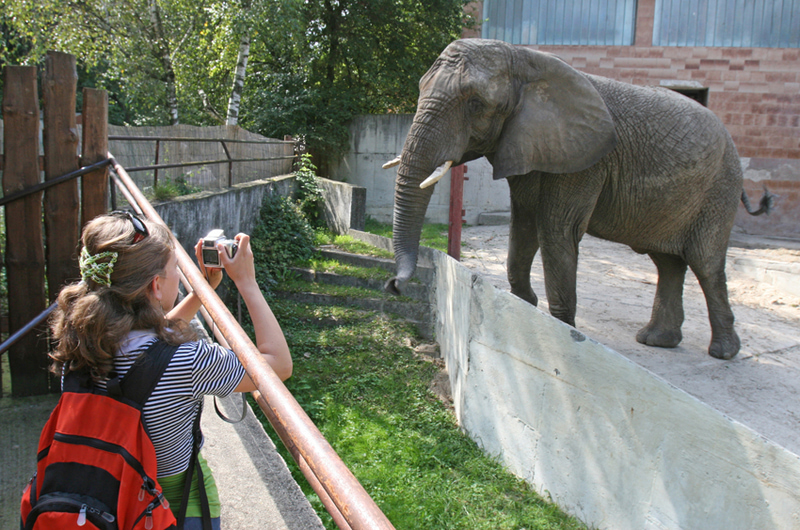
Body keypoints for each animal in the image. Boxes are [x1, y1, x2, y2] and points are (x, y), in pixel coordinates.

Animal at [384, 38, 772, 358]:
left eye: (476, 104)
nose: (394, 285)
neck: (526, 59)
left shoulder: (587, 162)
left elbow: (556, 229)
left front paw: (562, 335)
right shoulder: (531, 147)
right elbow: (523, 226)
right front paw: (523, 308)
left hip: (719, 187)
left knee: (705, 262)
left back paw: (722, 352)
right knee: (668, 262)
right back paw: (656, 341)